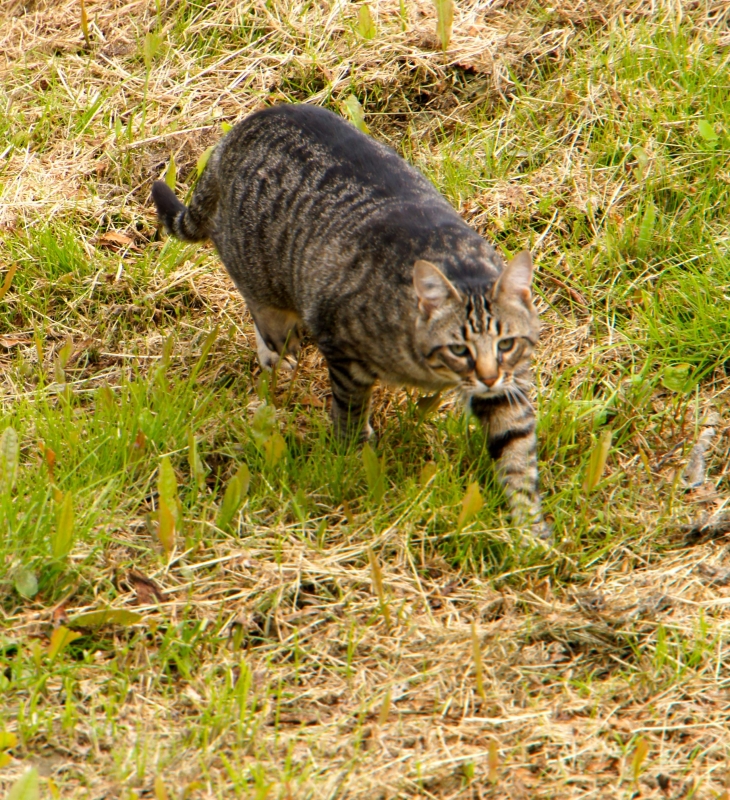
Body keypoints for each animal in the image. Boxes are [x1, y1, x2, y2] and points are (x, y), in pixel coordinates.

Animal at [155, 103, 552, 544]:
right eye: (459, 349)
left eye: (506, 344)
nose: (487, 376)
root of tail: (239, 131)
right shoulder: (343, 352)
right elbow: (349, 411)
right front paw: (354, 453)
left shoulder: (508, 388)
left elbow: (516, 451)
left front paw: (531, 533)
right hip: (263, 281)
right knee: (267, 322)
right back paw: (279, 359)